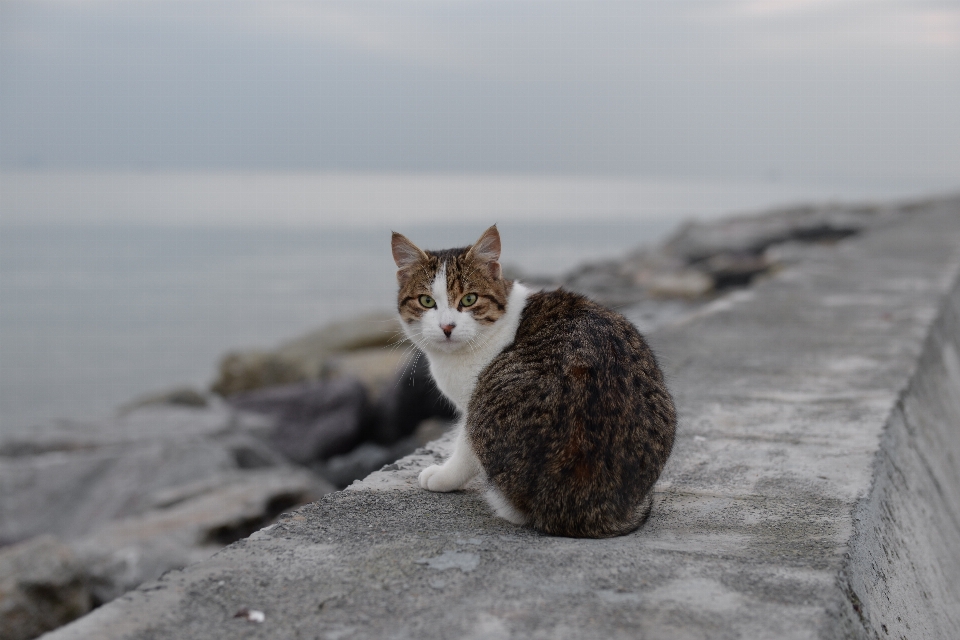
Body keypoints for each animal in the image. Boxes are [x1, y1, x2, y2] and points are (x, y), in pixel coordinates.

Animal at [390, 226, 676, 540]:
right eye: (427, 301)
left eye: (469, 299)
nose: (447, 327)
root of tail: (587, 512)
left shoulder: (471, 405)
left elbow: (464, 451)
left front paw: (443, 477)